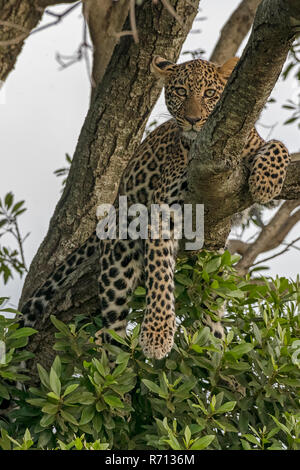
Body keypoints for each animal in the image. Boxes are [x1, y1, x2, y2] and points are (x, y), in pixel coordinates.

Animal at [19, 54, 290, 360]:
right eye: (181, 91)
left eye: (210, 93)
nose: (193, 120)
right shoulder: (165, 209)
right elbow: (160, 273)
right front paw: (156, 334)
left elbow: (277, 145)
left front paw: (266, 182)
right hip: (119, 255)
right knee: (113, 330)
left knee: (210, 305)